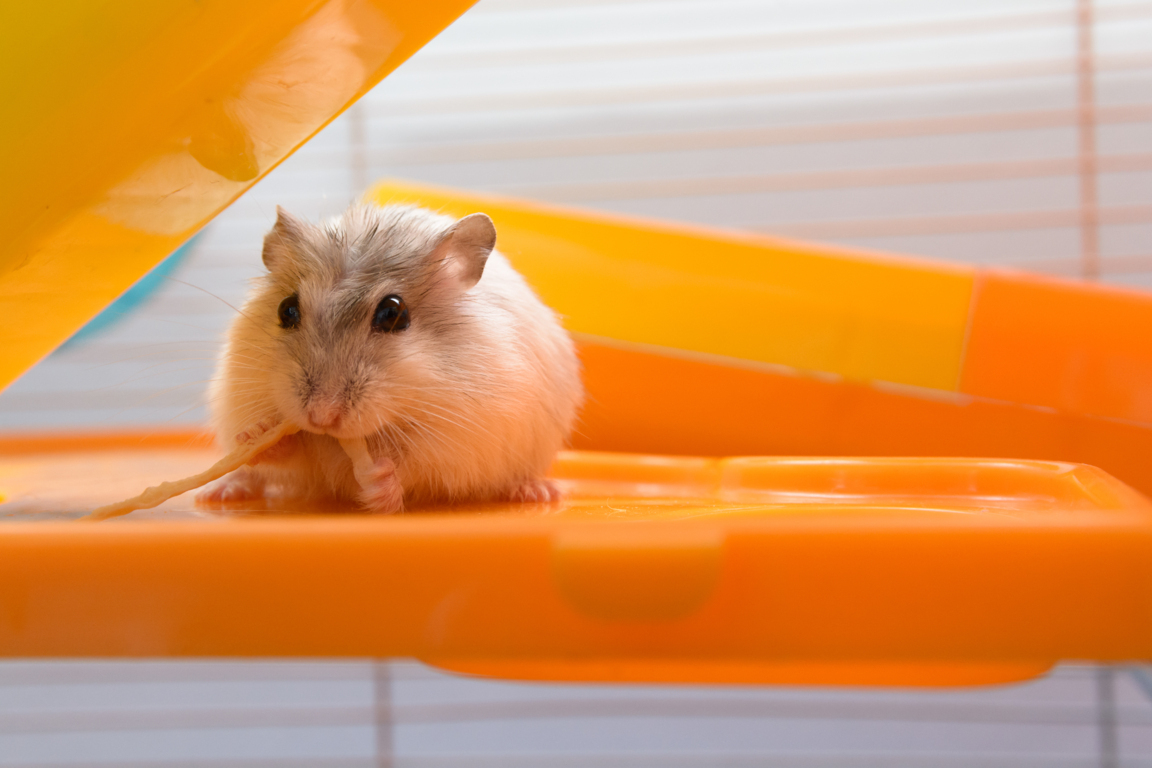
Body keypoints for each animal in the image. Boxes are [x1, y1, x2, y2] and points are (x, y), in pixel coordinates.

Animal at [197, 203, 583, 512]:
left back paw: (537, 492)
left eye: (393, 314)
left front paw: (379, 483)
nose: (321, 417)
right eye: (286, 309)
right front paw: (258, 433)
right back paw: (220, 491)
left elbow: (413, 467)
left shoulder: (458, 442)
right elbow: (285, 451)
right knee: (253, 476)